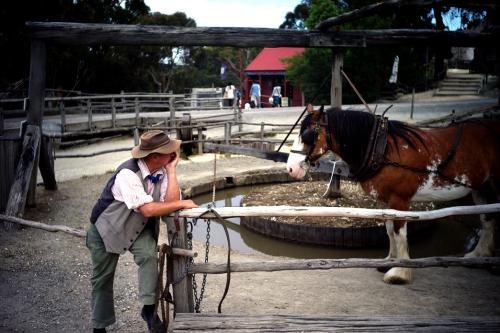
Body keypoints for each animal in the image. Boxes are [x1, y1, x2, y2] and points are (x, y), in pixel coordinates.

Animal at [288, 104, 500, 282]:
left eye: (308, 134)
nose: (291, 168)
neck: (383, 149)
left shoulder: (400, 200)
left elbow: (400, 233)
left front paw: (400, 272)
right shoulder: (385, 201)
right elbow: (389, 230)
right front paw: (390, 261)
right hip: (482, 186)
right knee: (488, 219)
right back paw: (478, 255)